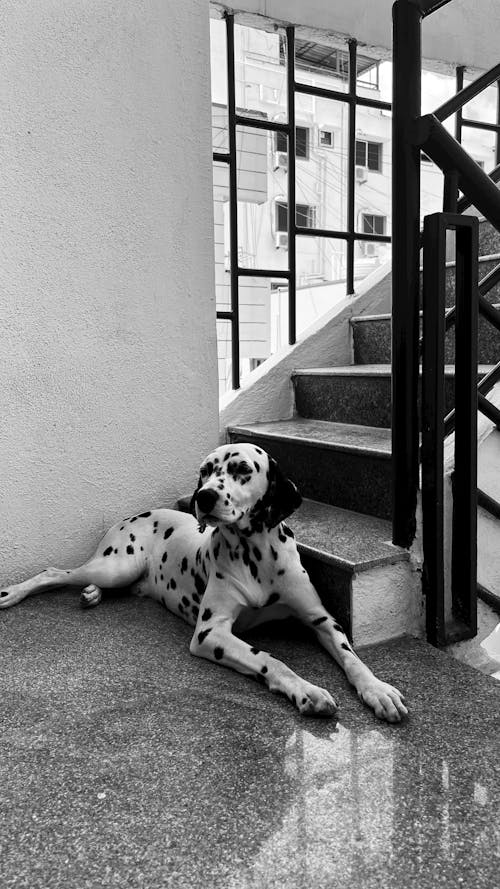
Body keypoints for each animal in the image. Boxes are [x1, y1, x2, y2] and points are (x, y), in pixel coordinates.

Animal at [0, 442, 406, 720]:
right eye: (206, 470)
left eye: (242, 468)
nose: (204, 496)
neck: (256, 554)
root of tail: (132, 515)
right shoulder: (211, 633)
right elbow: (270, 660)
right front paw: (307, 691)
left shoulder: (321, 620)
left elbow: (351, 656)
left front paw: (378, 690)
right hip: (117, 564)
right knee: (54, 573)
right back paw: (12, 593)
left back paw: (90, 594)